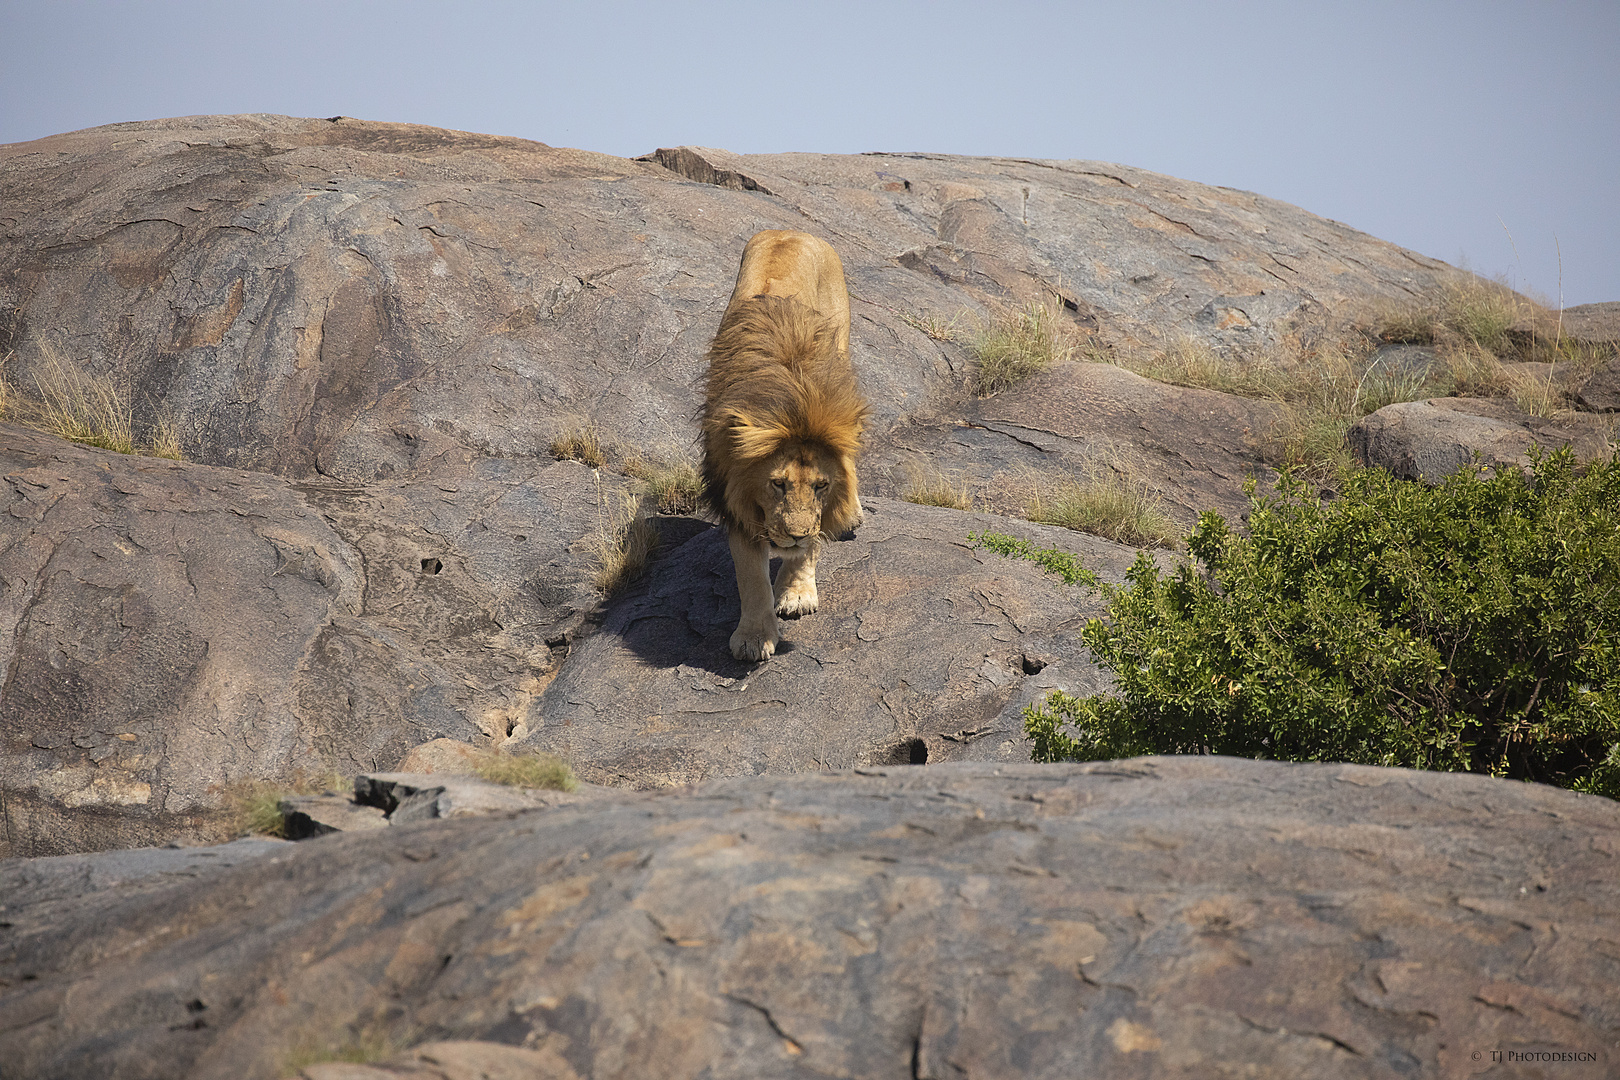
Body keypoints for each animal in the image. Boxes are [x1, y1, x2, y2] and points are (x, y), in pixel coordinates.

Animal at [699, 229, 868, 660]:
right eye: (777, 483)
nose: (793, 535)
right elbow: (750, 575)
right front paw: (754, 637)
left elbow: (812, 543)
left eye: (821, 486)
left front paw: (796, 593)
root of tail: (793, 231)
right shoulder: (734, 495)